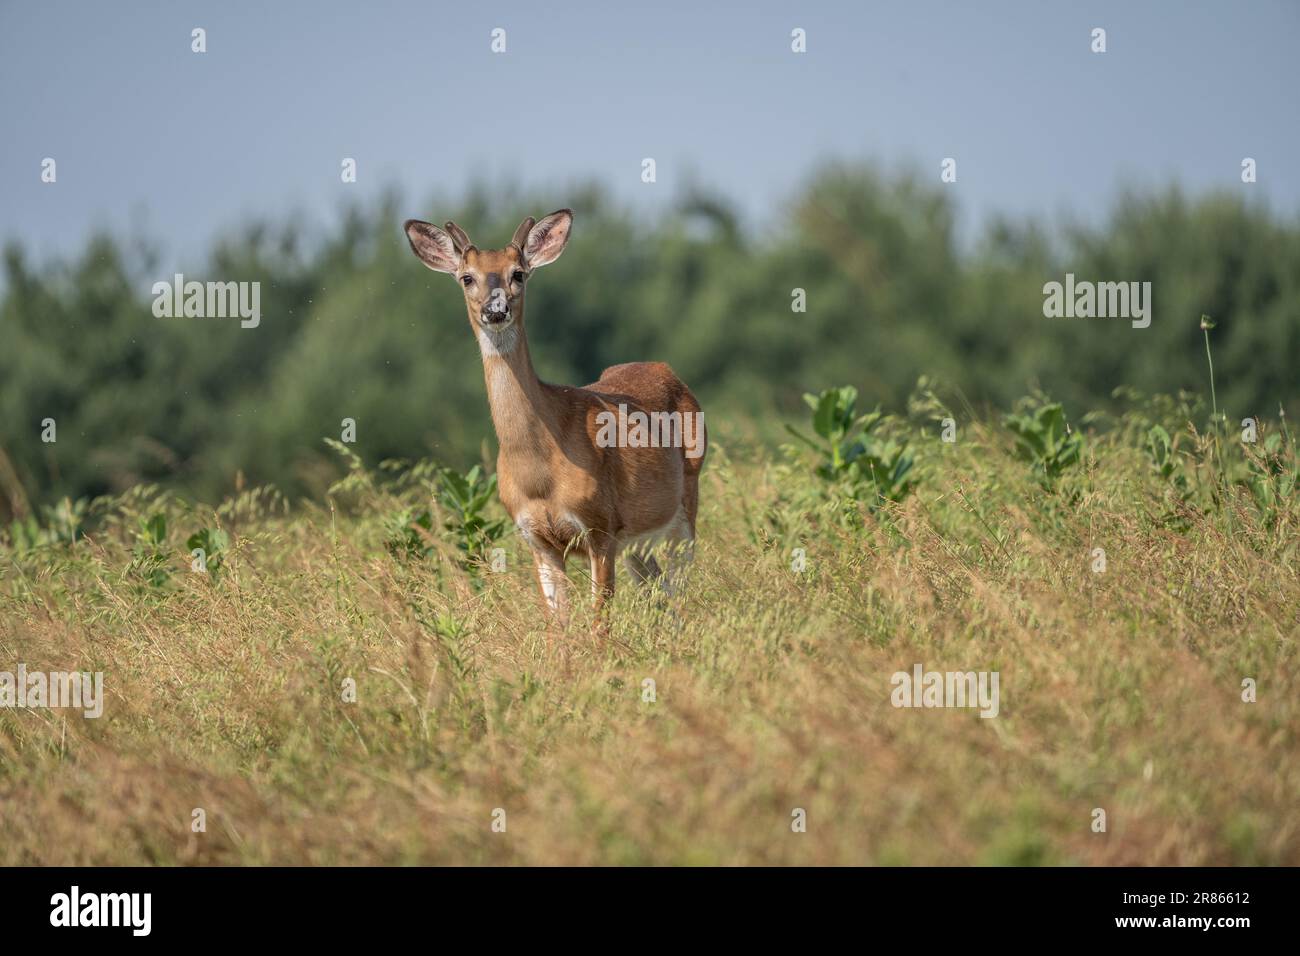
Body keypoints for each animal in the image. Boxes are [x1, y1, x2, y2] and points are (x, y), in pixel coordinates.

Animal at [405, 209, 712, 621]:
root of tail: (666, 368)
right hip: (637, 537)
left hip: (685, 503)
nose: (495, 310)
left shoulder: (601, 527)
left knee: (678, 586)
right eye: (466, 277)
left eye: (518, 273)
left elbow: (599, 620)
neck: (540, 472)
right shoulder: (538, 539)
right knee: (658, 588)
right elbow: (558, 624)